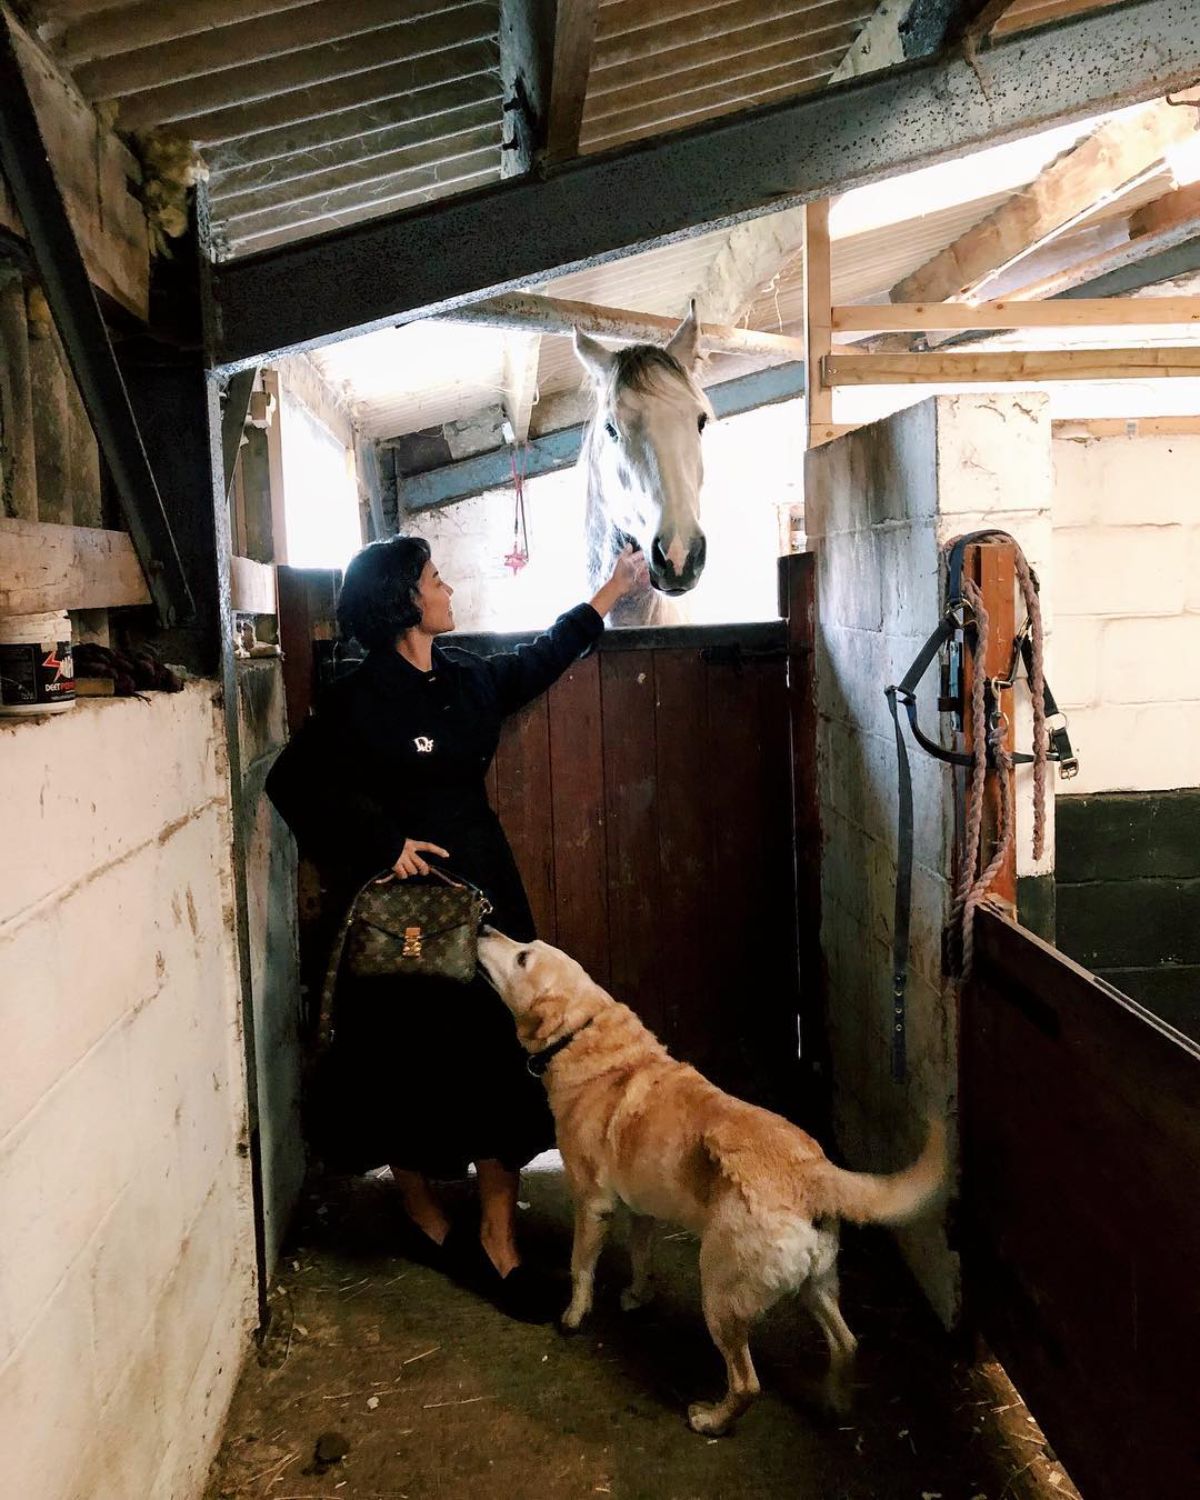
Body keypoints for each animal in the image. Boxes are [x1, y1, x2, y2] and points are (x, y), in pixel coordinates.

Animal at [477, 930, 948, 1434]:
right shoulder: (641, 1210)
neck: (583, 1034)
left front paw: (572, 1316)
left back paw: (711, 1419)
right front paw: (638, 1296)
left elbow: (580, 1267)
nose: (484, 927)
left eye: (523, 956)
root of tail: (811, 1173)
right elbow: (641, 1257)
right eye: (527, 944)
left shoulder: (591, 1204)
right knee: (846, 1343)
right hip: (817, 1283)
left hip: (721, 1295)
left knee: (747, 1383)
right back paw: (835, 1403)